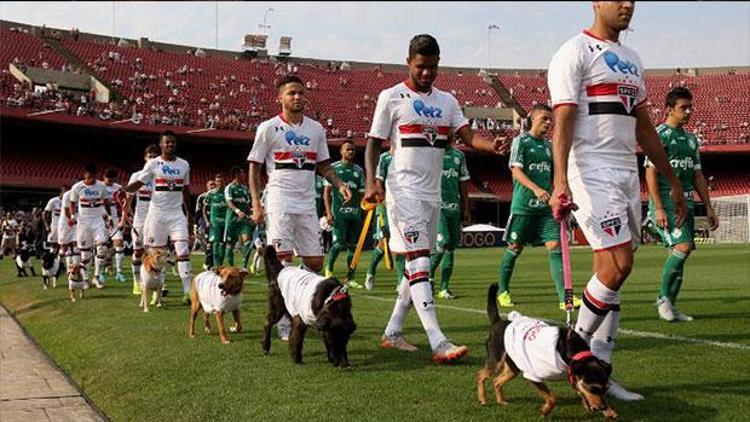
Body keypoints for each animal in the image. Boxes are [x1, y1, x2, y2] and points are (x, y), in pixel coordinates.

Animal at [478, 284, 620, 418]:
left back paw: (501, 401)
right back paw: (483, 399)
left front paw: (609, 412)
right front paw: (545, 411)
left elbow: (581, 394)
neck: (570, 351)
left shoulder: (573, 377)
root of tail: (498, 322)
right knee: (481, 375)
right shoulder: (533, 375)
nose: (602, 407)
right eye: (593, 389)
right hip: (495, 360)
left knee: (497, 381)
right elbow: (552, 398)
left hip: (513, 367)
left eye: (605, 389)